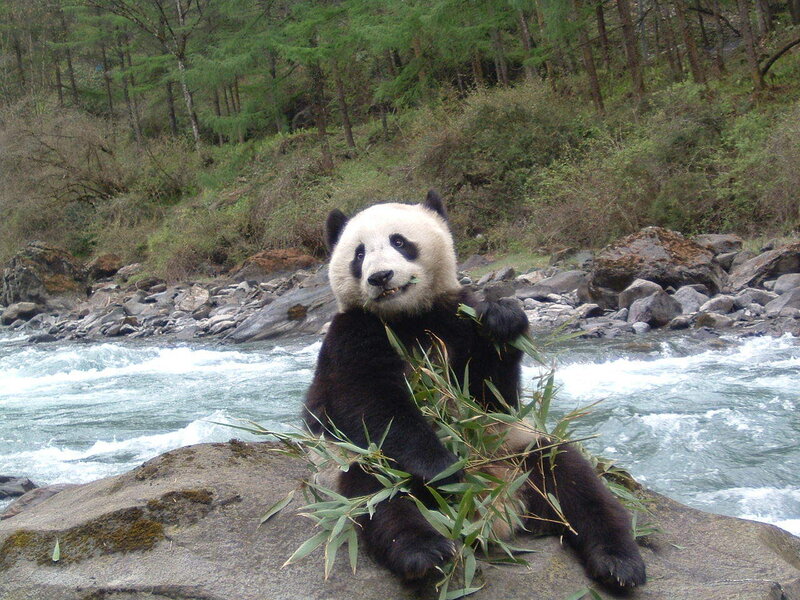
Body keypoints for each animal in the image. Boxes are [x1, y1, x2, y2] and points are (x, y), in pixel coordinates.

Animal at [303, 191, 646, 590]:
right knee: (379, 494)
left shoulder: (456, 320)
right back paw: (426, 554)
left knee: (573, 480)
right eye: (358, 254)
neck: (406, 317)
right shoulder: (353, 333)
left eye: (399, 242)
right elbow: (364, 401)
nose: (380, 276)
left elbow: (491, 397)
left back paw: (619, 562)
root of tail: (495, 507)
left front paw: (503, 318)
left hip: (517, 448)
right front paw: (441, 468)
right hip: (353, 464)